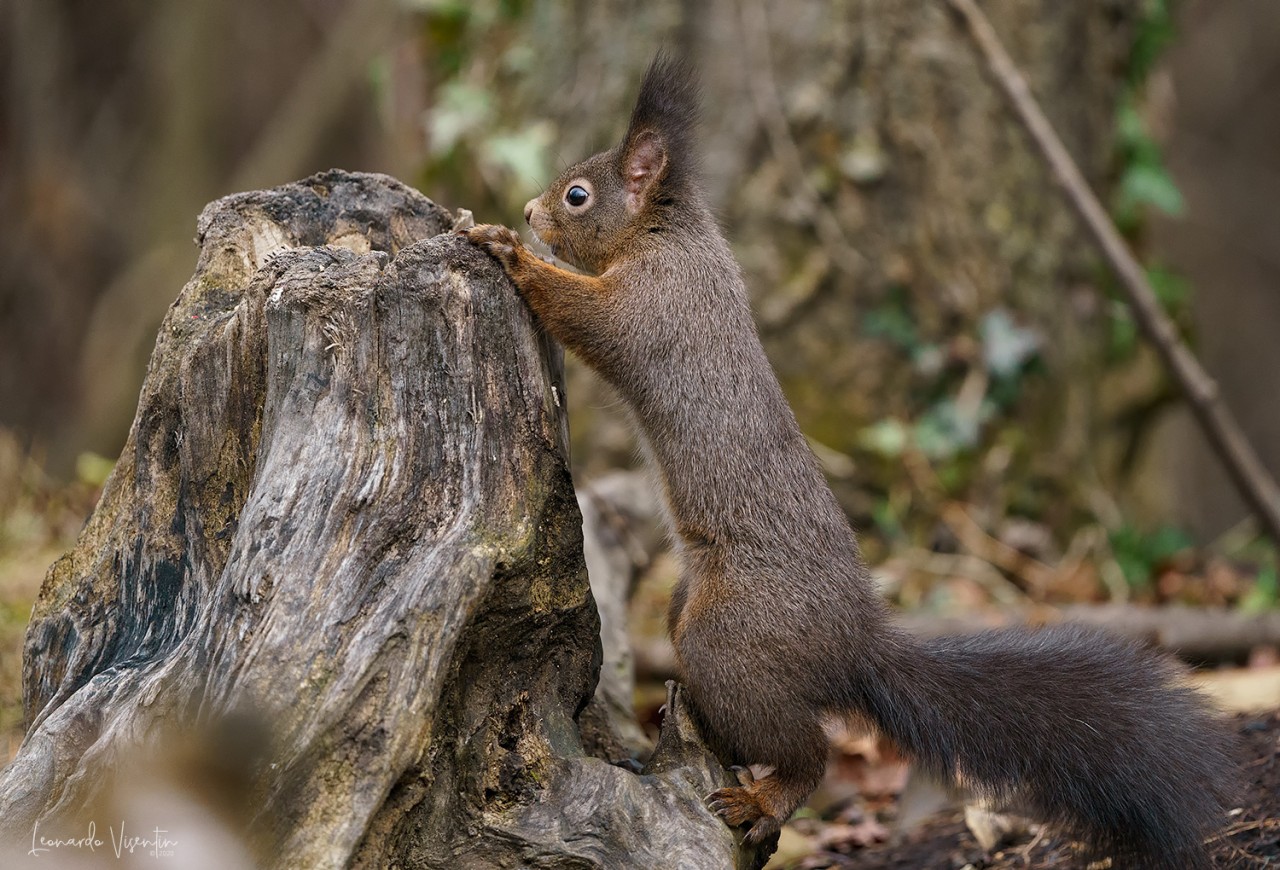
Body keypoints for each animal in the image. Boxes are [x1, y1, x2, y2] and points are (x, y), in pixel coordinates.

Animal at [461, 56, 1234, 867]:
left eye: (578, 196)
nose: (530, 209)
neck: (666, 233)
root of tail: (851, 646)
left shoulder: (654, 300)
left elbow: (589, 316)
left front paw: (507, 250)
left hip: (730, 640)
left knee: (809, 749)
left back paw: (763, 799)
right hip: (689, 609)